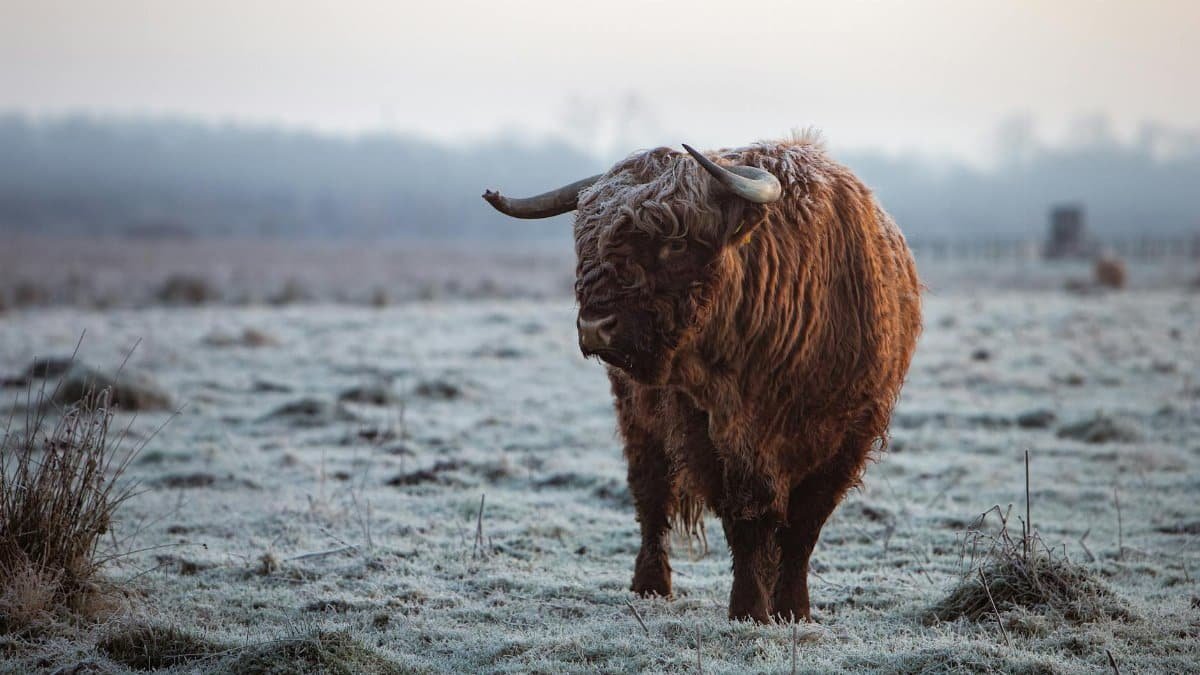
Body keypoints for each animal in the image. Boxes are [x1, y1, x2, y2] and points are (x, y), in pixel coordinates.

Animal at [482, 132, 922, 623]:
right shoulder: (710, 435)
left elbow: (802, 530)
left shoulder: (847, 439)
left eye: (674, 243)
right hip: (640, 421)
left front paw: (794, 610)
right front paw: (748, 609)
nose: (595, 326)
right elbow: (744, 522)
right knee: (651, 497)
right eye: (586, 240)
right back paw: (650, 585)